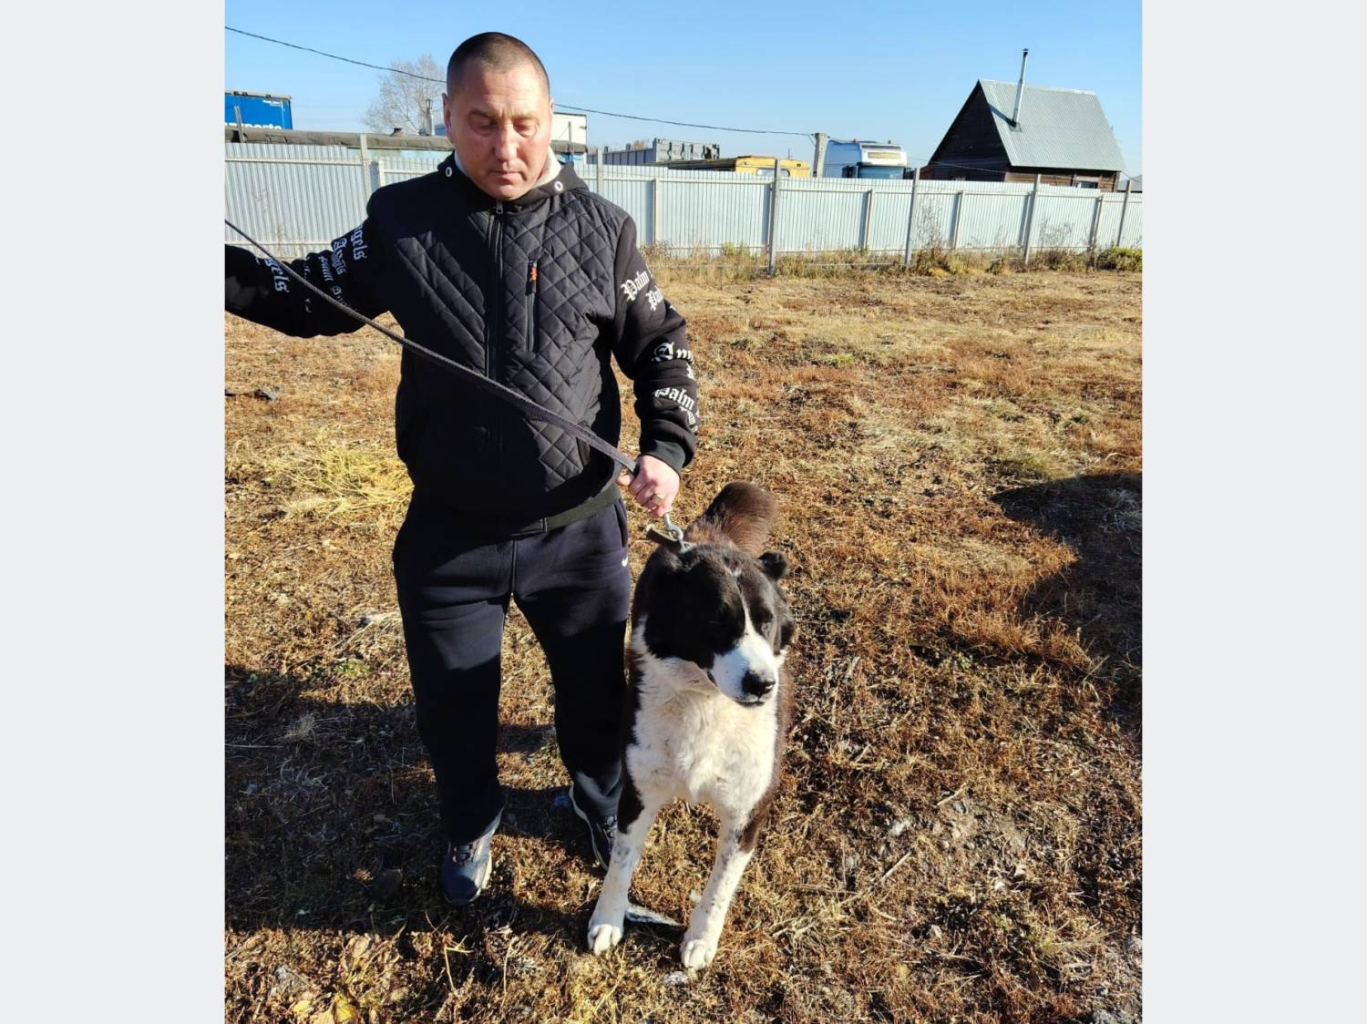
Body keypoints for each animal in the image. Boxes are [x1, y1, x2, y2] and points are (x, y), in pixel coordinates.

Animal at [587, 482, 796, 969]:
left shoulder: (748, 811)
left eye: (767, 623)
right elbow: (621, 861)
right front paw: (608, 920)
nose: (762, 684)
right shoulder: (638, 790)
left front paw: (701, 939)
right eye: (716, 622)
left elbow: (720, 887)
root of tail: (703, 538)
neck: (707, 701)